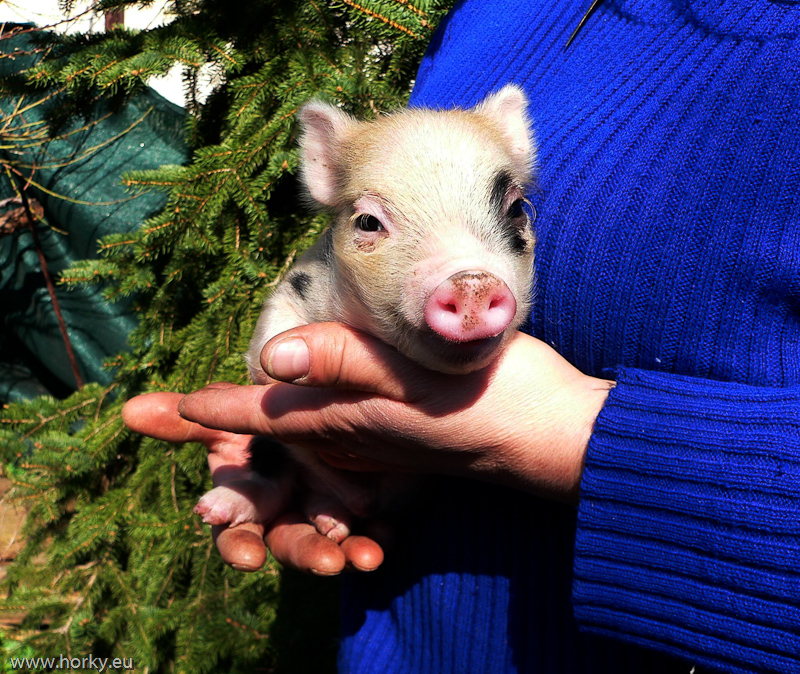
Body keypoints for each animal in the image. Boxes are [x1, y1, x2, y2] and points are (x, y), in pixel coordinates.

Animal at [193, 84, 537, 543]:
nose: (471, 281)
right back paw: (219, 510)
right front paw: (274, 365)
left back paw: (330, 524)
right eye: (369, 222)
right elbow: (268, 352)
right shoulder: (291, 290)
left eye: (516, 208)